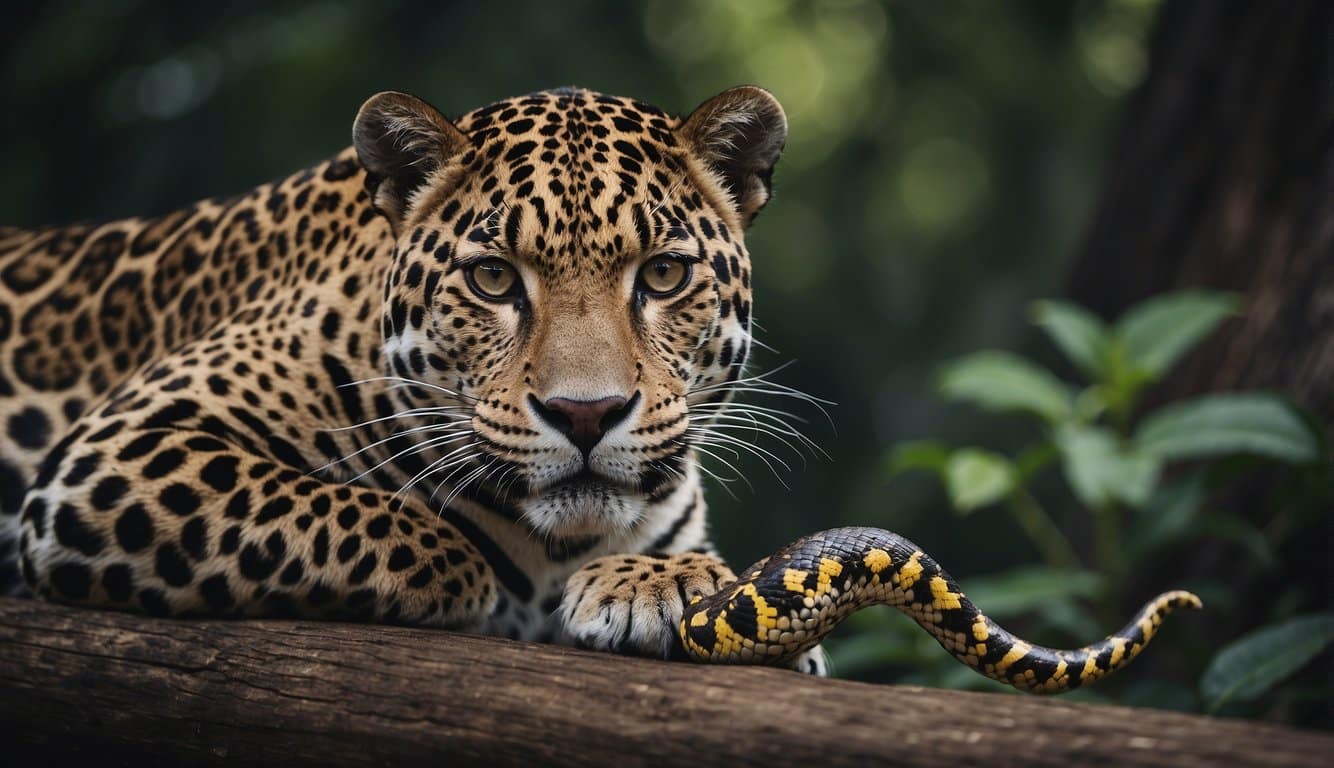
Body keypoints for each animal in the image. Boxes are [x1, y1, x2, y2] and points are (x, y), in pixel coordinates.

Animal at [0, 85, 829, 674]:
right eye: (494, 279)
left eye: (662, 274)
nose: (585, 415)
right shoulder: (120, 450)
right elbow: (371, 518)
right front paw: (477, 575)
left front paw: (665, 581)